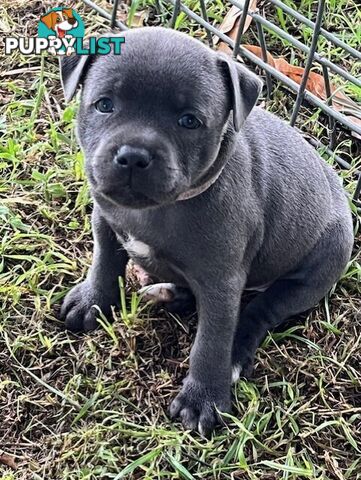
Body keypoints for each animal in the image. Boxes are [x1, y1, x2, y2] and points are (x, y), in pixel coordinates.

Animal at [59, 26, 352, 436]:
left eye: (189, 121)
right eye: (104, 105)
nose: (133, 155)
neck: (158, 210)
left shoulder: (220, 283)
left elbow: (211, 342)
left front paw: (203, 400)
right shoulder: (105, 217)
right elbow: (104, 261)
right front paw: (92, 302)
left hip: (317, 269)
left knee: (261, 310)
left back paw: (234, 353)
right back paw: (168, 293)